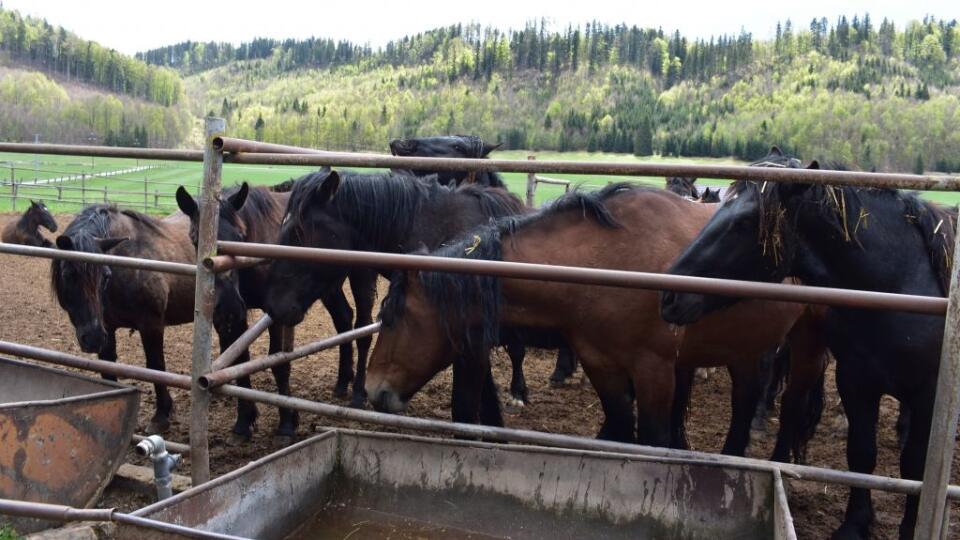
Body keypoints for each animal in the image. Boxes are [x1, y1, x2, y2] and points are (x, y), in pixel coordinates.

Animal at [366, 182, 824, 456]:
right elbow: (620, 428)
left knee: (789, 405)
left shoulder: (655, 371)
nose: (373, 390)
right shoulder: (601, 364)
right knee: (745, 401)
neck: (606, 263)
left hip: (805, 343)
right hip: (745, 345)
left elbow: (651, 439)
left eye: (394, 317)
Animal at [664, 157, 956, 540]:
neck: (903, 282)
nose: (669, 295)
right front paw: (853, 524)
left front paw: (910, 527)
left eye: (745, 222)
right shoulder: (855, 382)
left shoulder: (929, 395)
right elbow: (861, 452)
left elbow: (916, 465)